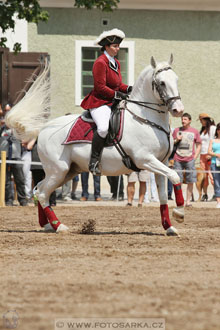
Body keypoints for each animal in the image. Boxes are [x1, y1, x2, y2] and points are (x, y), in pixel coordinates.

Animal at [6, 54, 186, 235]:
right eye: (161, 83)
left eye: (177, 79)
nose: (178, 110)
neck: (146, 119)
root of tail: (43, 128)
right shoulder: (145, 160)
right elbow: (175, 176)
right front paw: (179, 212)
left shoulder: (161, 162)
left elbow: (164, 194)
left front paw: (169, 227)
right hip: (58, 170)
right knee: (43, 193)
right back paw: (59, 226)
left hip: (68, 172)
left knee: (39, 189)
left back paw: (47, 224)